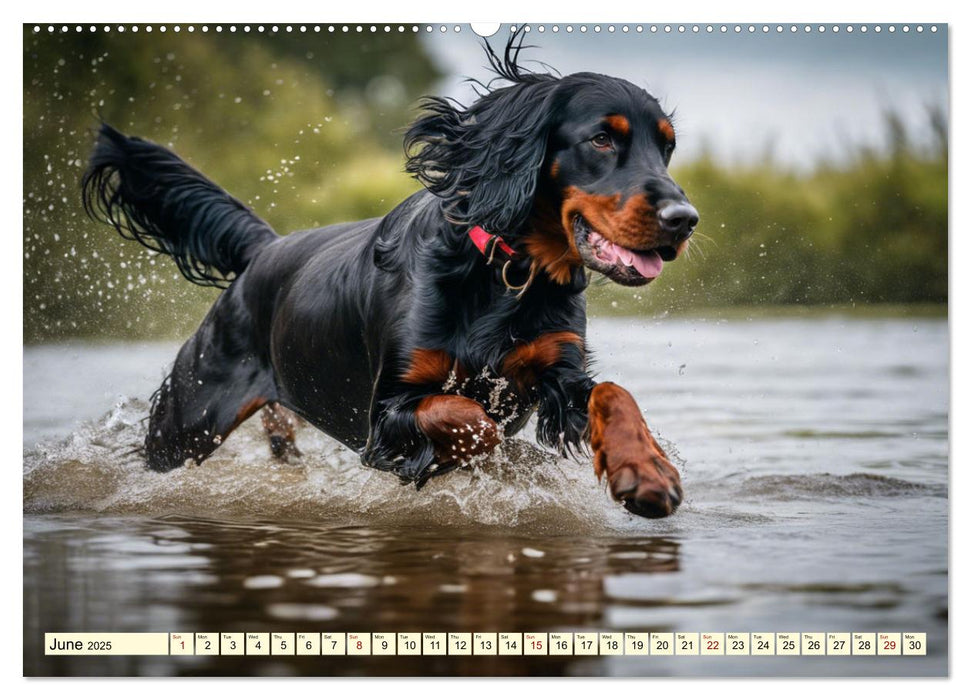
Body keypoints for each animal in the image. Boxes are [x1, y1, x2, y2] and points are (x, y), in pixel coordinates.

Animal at [81, 39, 700, 520]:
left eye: (666, 147)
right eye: (601, 139)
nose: (684, 219)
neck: (505, 273)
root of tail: (264, 250)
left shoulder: (558, 371)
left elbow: (611, 393)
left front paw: (646, 470)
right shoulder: (385, 414)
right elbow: (470, 418)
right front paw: (502, 462)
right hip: (189, 421)